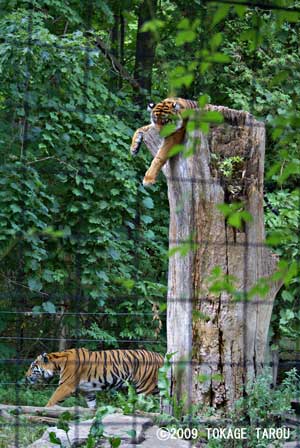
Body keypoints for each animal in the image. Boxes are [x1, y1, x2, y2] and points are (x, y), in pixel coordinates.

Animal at [25, 346, 164, 410]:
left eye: (32, 367)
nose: (25, 376)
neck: (57, 364)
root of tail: (160, 356)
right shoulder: (88, 391)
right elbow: (92, 406)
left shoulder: (66, 386)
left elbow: (51, 401)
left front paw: (43, 411)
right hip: (156, 388)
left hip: (144, 387)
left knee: (145, 405)